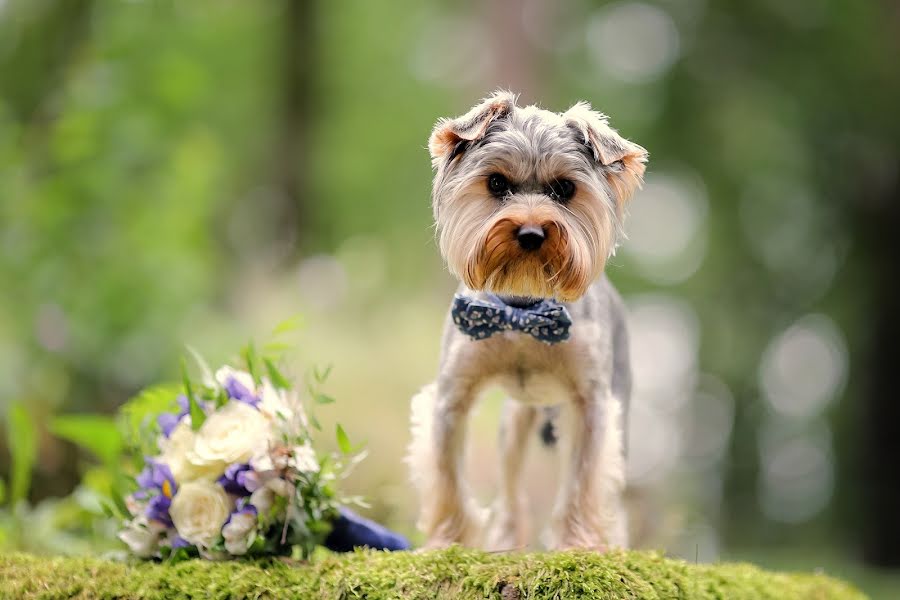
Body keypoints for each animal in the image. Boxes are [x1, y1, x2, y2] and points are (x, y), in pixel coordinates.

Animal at [408, 89, 648, 548]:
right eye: (496, 183)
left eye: (565, 189)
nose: (532, 232)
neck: (522, 310)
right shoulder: (453, 394)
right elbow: (448, 476)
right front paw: (447, 542)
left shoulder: (592, 403)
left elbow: (583, 481)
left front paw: (578, 545)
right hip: (516, 419)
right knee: (511, 478)